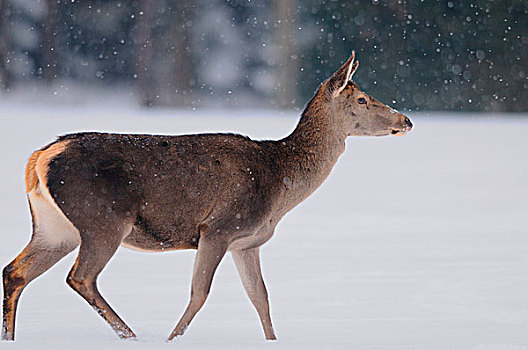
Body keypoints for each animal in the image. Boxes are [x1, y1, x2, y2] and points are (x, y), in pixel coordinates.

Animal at [1, 52, 412, 342]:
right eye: (362, 99)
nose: (405, 120)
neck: (280, 186)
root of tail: (39, 158)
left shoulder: (247, 242)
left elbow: (260, 297)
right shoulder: (218, 227)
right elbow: (200, 293)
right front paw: (172, 339)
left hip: (56, 226)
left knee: (16, 270)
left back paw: (12, 337)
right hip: (102, 219)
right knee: (81, 277)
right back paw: (131, 336)